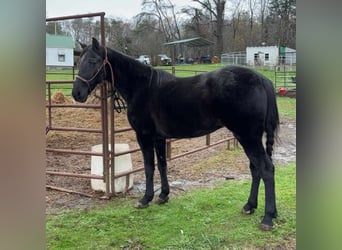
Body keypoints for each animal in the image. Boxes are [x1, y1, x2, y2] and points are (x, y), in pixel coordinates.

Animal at [73, 37, 280, 230]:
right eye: (79, 60)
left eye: (93, 61)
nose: (77, 93)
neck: (142, 87)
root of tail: (261, 79)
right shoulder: (159, 138)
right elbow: (162, 165)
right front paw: (163, 195)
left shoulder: (144, 136)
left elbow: (149, 167)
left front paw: (145, 199)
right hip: (249, 137)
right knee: (255, 169)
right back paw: (250, 206)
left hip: (248, 137)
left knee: (266, 169)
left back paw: (267, 218)